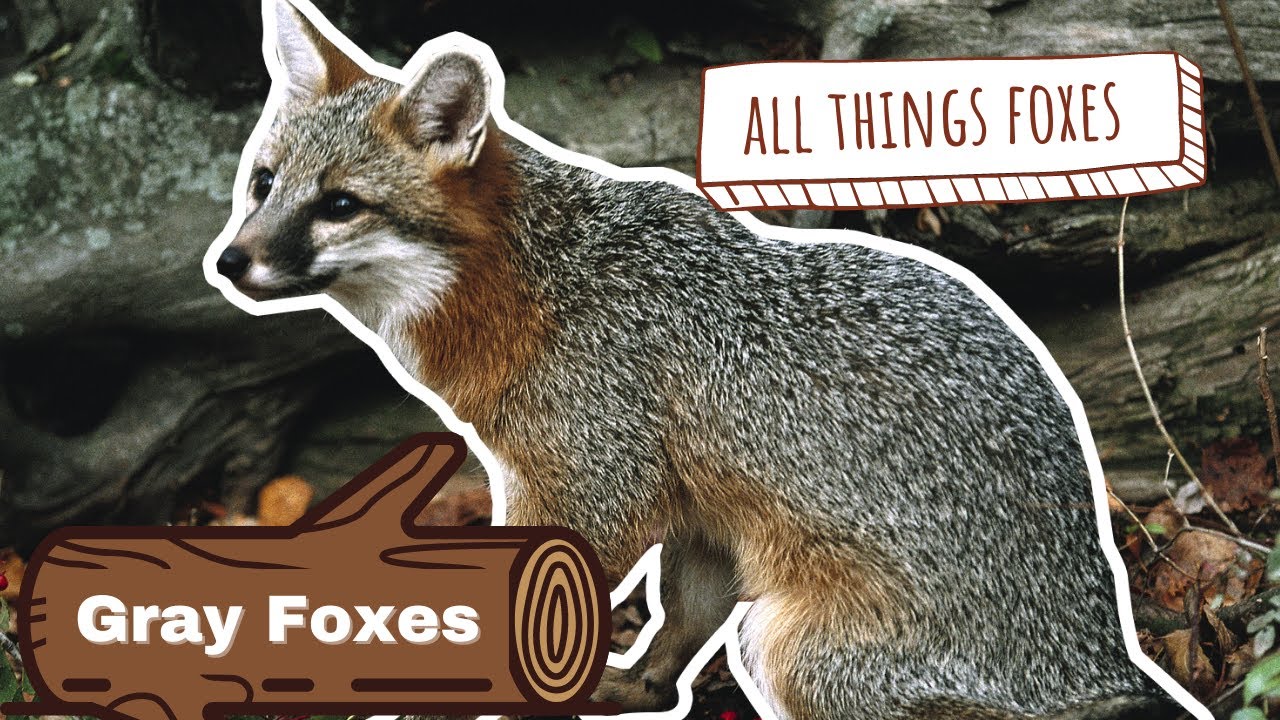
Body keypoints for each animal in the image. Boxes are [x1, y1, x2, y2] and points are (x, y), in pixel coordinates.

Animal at [210, 2, 1193, 719]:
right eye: (263, 184)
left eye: (341, 205)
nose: (228, 262)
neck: (540, 281)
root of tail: (1104, 658)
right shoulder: (703, 510)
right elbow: (678, 622)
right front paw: (642, 685)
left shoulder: (591, 487)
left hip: (790, 649)